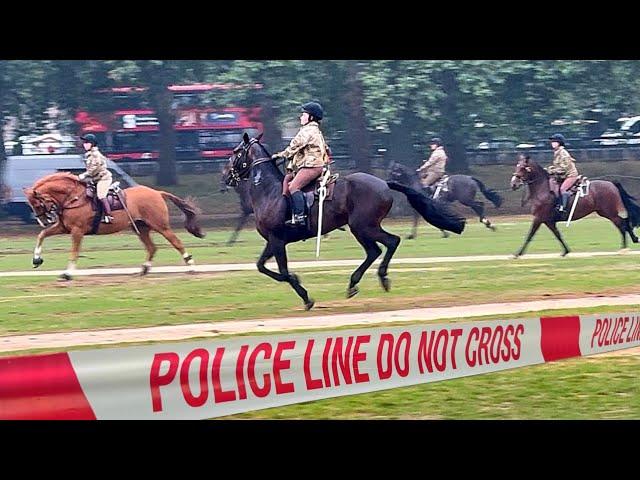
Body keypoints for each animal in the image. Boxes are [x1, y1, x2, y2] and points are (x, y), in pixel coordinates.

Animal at [24, 172, 205, 280]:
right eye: (32, 205)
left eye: (37, 204)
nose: (43, 221)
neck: (73, 197)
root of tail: (157, 192)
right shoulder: (64, 228)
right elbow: (42, 235)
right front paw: (36, 259)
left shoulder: (77, 231)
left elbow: (74, 251)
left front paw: (68, 273)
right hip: (141, 228)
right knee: (152, 247)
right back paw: (144, 269)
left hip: (161, 226)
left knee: (176, 242)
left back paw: (191, 265)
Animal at [225, 133, 464, 310]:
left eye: (236, 152)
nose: (227, 176)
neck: (270, 192)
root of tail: (384, 184)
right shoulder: (272, 241)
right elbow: (261, 266)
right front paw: (299, 283)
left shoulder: (277, 240)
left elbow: (283, 272)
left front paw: (305, 296)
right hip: (361, 229)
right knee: (375, 251)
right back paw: (354, 283)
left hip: (363, 227)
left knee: (390, 242)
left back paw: (380, 278)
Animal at [510, 156, 640, 256]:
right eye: (517, 166)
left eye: (523, 167)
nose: (513, 184)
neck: (543, 189)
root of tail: (611, 184)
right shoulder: (548, 221)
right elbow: (558, 235)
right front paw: (566, 251)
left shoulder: (539, 218)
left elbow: (530, 235)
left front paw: (518, 253)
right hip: (605, 212)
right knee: (625, 223)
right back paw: (632, 241)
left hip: (610, 213)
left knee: (622, 225)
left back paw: (623, 249)